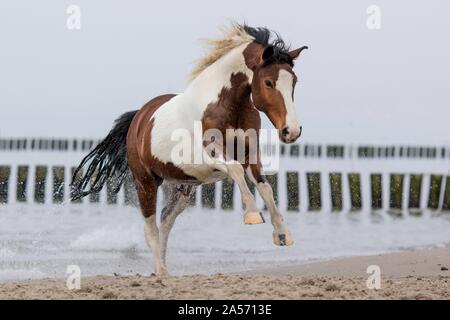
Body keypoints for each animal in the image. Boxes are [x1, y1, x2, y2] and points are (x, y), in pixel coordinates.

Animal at [70, 23, 308, 276]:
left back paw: (164, 270)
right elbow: (235, 171)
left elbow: (266, 189)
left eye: (294, 82)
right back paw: (161, 272)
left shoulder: (251, 156)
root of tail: (138, 118)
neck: (226, 106)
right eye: (268, 82)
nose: (291, 131)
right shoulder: (212, 154)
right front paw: (252, 214)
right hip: (145, 182)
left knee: (165, 222)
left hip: (182, 188)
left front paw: (282, 234)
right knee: (151, 229)